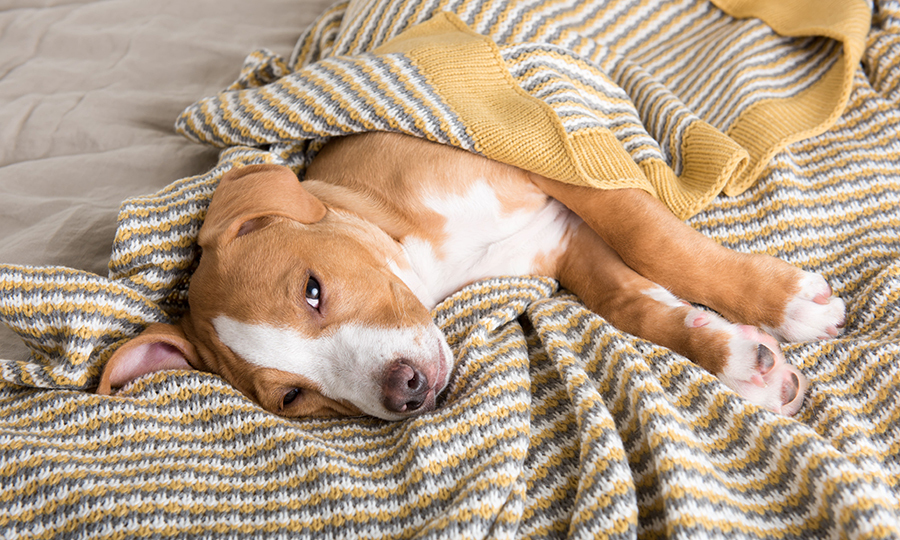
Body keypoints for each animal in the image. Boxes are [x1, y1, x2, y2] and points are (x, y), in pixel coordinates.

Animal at [98, 131, 844, 418]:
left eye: (313, 290)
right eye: (291, 397)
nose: (406, 391)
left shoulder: (559, 161)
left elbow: (656, 240)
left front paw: (782, 302)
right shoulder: (565, 244)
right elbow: (631, 302)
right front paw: (737, 359)